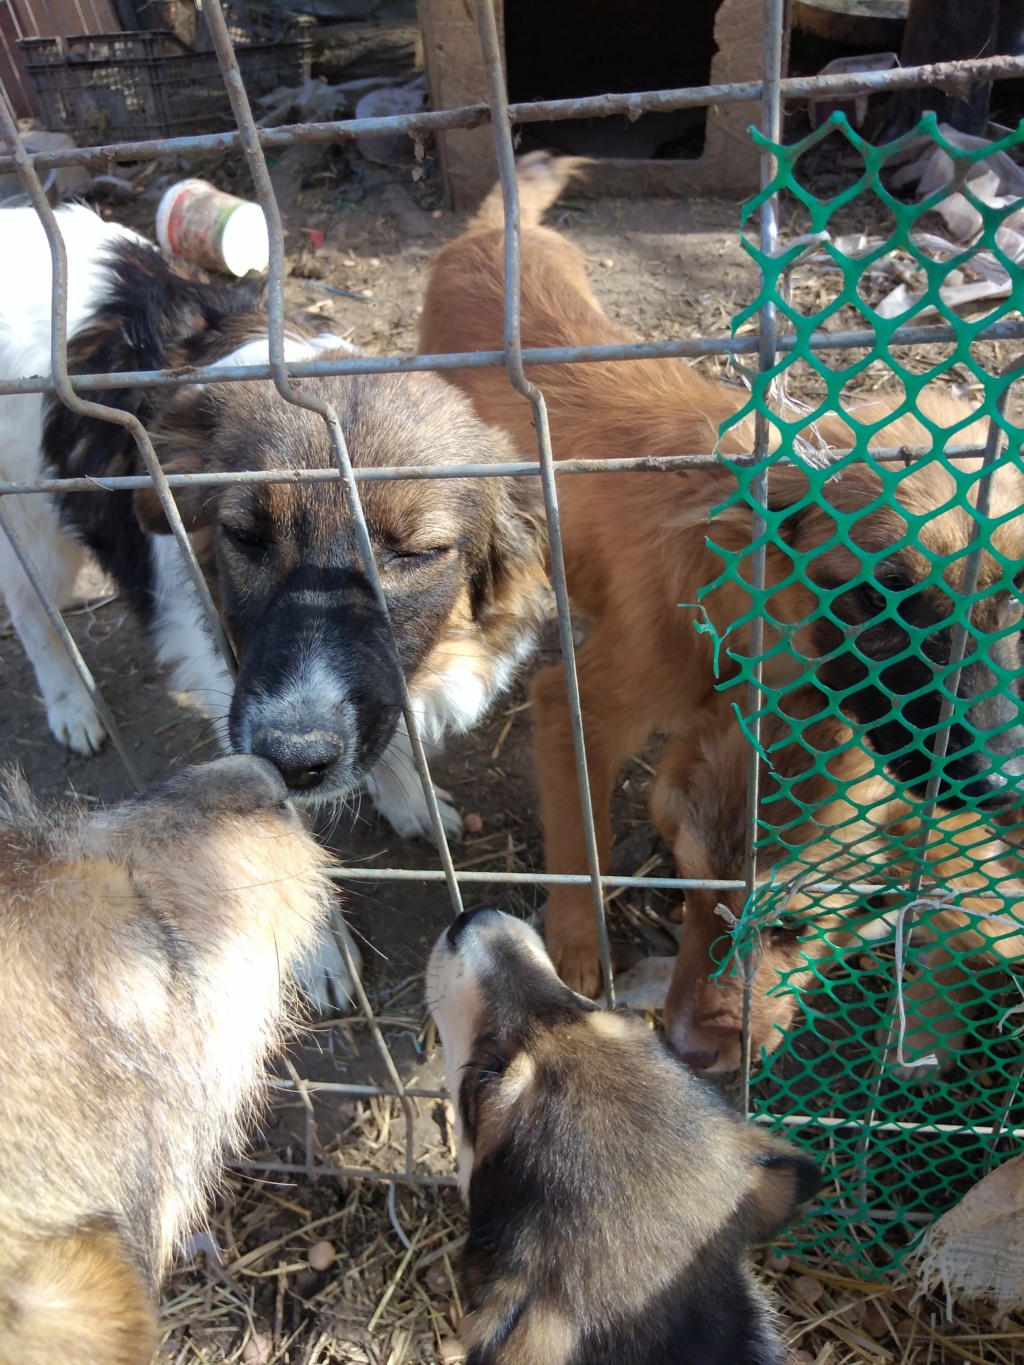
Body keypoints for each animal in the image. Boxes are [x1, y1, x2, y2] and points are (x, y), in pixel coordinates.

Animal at [0, 207, 554, 1010]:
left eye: (413, 553)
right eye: (245, 536)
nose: (293, 755)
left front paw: (406, 794)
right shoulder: (236, 700)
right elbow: (274, 828)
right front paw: (314, 942)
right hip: (32, 526)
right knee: (33, 613)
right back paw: (71, 703)